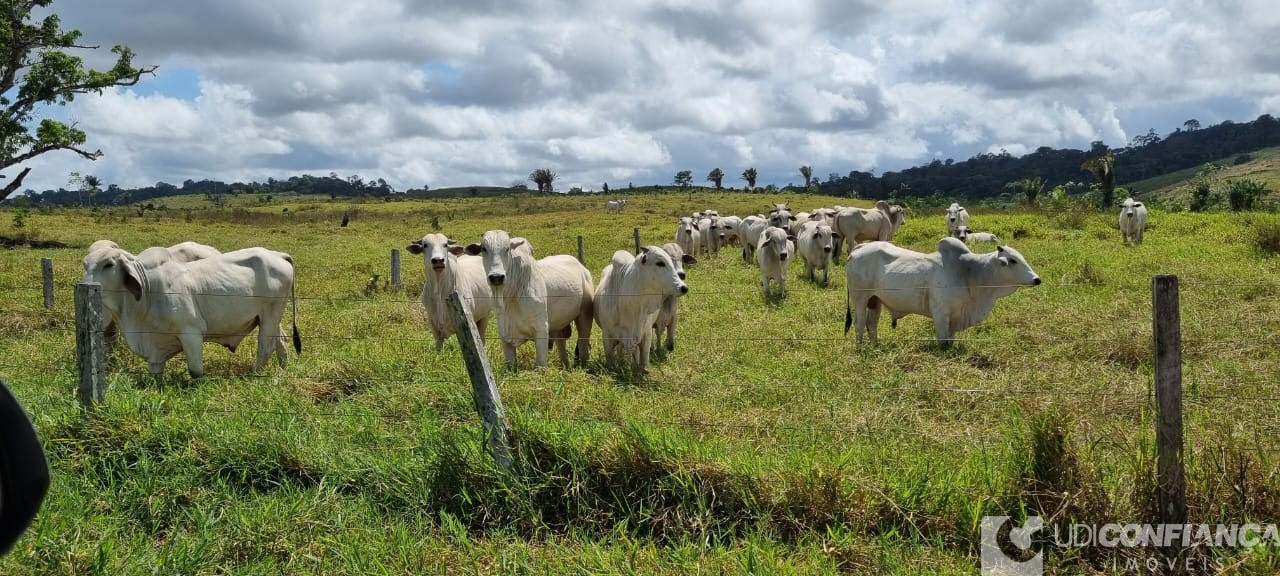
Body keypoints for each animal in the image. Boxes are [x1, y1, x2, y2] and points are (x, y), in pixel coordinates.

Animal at [80, 244, 299, 376]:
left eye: (108, 264)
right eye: (85, 264)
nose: (86, 285)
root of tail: (278, 255)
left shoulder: (191, 332)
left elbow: (195, 371)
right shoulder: (155, 349)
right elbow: (155, 372)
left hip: (271, 315)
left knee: (266, 346)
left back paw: (256, 374)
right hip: (268, 318)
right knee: (281, 342)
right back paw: (283, 371)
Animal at [465, 230, 593, 368]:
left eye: (507, 248)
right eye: (484, 249)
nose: (496, 277)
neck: (510, 296)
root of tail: (581, 267)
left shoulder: (542, 330)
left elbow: (540, 365)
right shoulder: (504, 334)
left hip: (584, 316)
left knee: (583, 348)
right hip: (559, 326)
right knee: (562, 348)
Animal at [844, 235, 1044, 343]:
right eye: (1012, 260)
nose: (1037, 279)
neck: (969, 272)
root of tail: (858, 249)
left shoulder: (955, 316)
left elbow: (950, 339)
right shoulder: (940, 312)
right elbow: (942, 342)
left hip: (875, 301)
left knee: (872, 324)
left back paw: (876, 345)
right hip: (859, 298)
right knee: (859, 324)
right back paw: (861, 348)